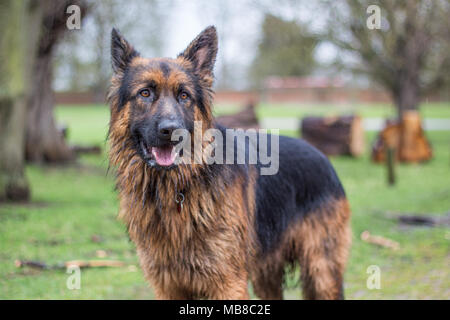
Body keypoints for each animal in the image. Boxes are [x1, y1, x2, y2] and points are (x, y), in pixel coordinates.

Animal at [108, 25, 352, 300]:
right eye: (145, 93)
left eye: (184, 96)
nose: (171, 131)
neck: (177, 188)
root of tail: (322, 155)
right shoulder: (168, 286)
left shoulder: (229, 283)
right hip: (266, 276)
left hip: (322, 272)